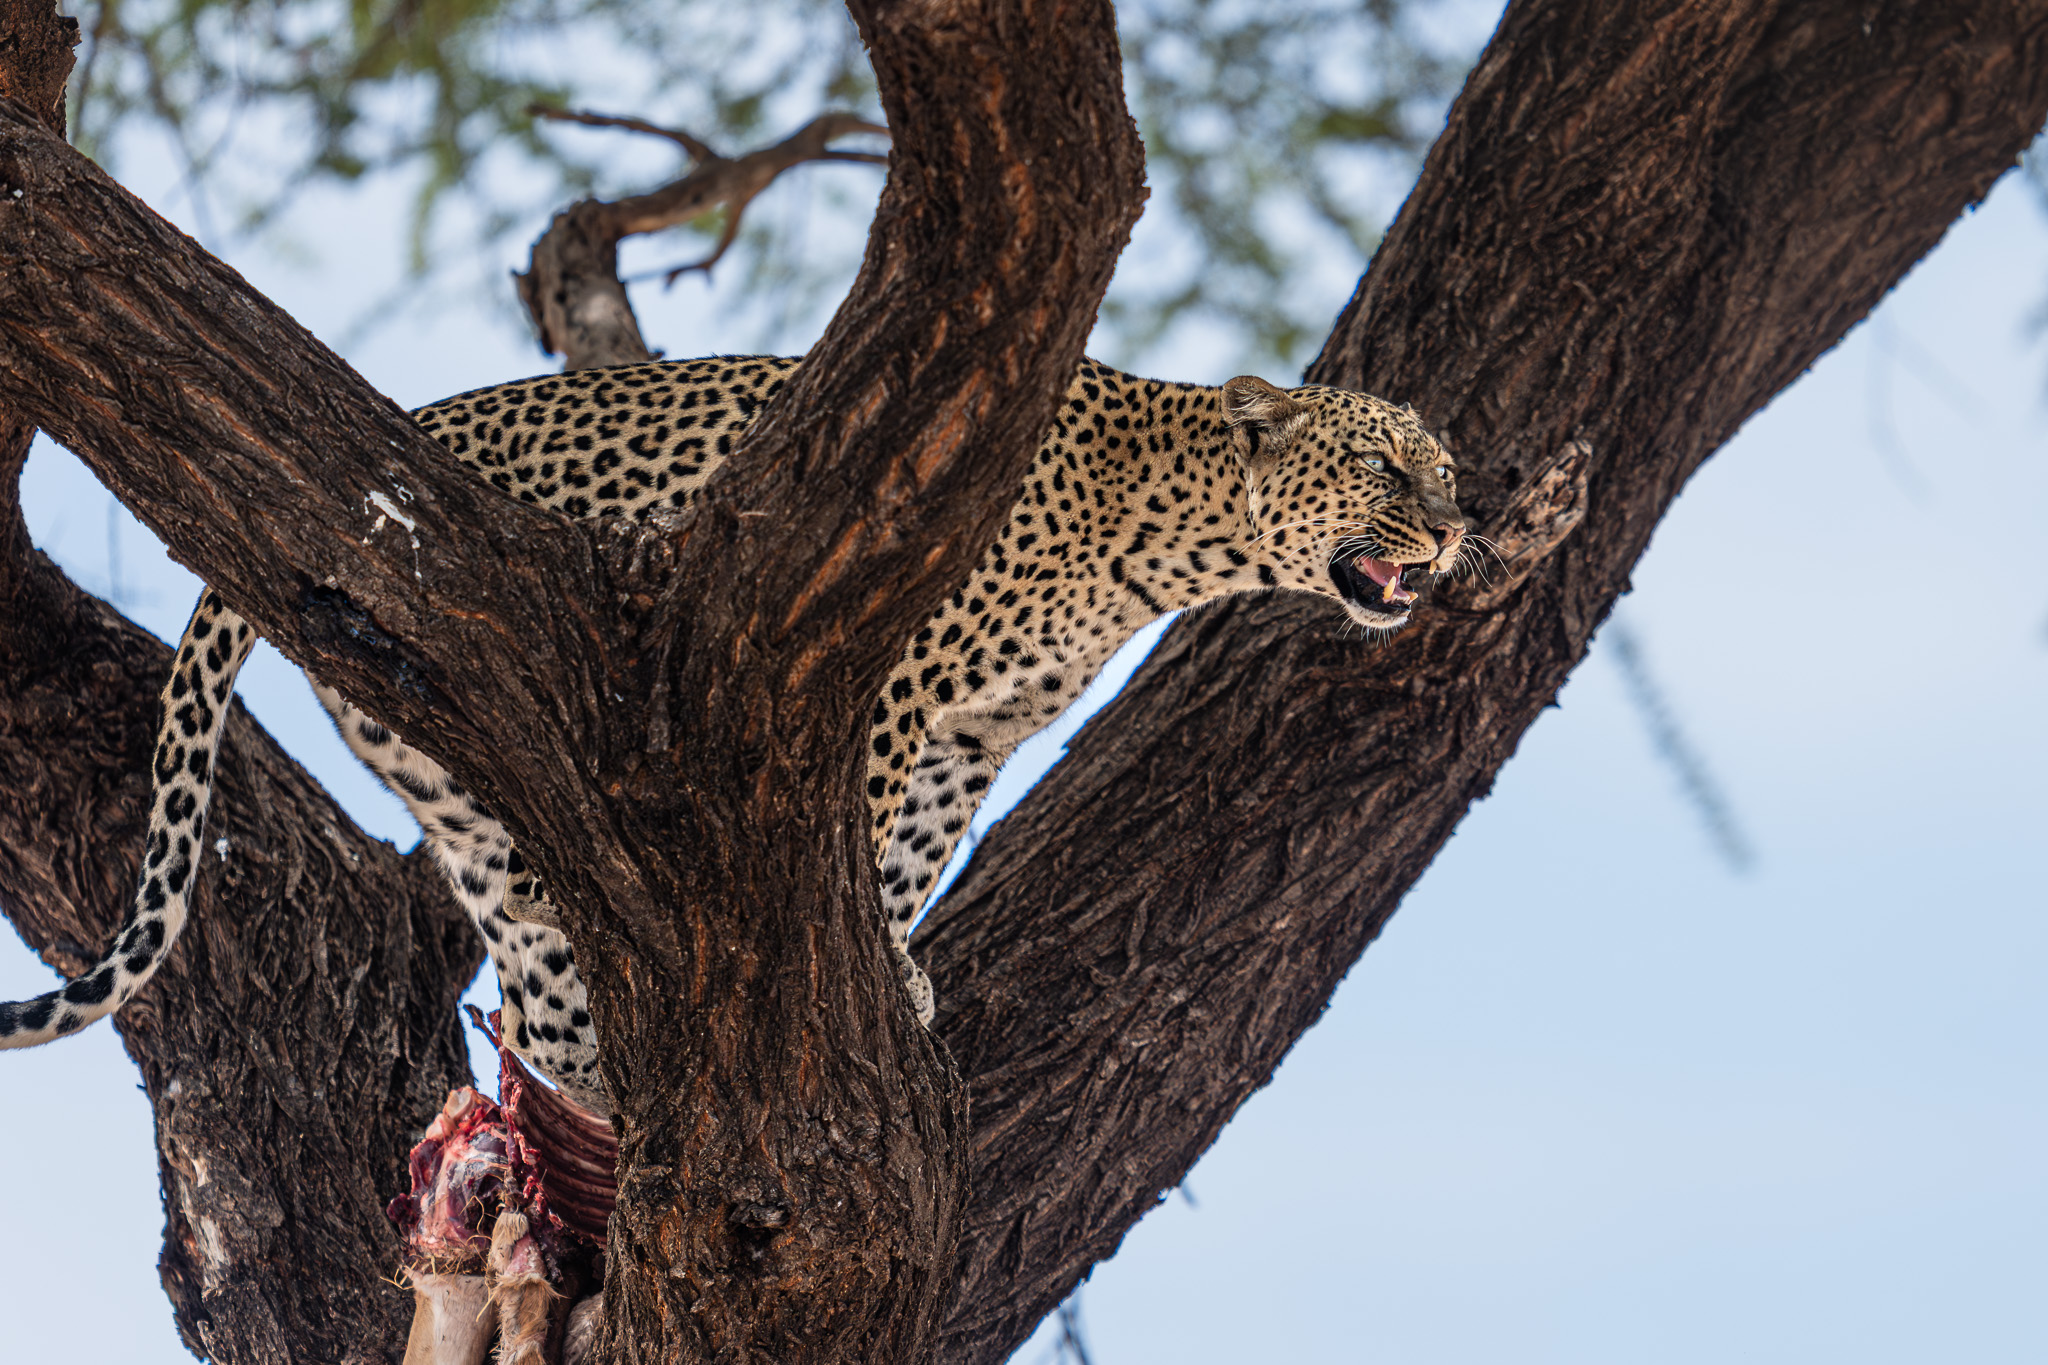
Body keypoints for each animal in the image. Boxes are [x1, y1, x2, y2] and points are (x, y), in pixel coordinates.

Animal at [0, 355, 1467, 1112]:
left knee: (529, 971)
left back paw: (591, 1076)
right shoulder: (888, 686)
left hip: (462, 786)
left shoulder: (970, 739)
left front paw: (887, 976)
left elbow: (905, 855)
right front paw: (874, 977)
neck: (1169, 541)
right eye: (1383, 469)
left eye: (1443, 471)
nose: (1461, 529)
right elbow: (858, 831)